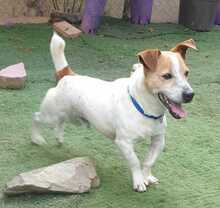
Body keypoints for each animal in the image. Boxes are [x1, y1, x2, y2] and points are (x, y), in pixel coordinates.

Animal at [31, 32, 197, 192]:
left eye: (186, 73)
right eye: (167, 76)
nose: (190, 95)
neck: (145, 108)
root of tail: (68, 75)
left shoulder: (158, 140)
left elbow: (149, 161)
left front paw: (147, 177)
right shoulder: (124, 142)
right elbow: (135, 162)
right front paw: (139, 181)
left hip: (71, 117)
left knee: (60, 123)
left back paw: (59, 137)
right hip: (51, 114)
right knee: (36, 117)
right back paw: (36, 138)